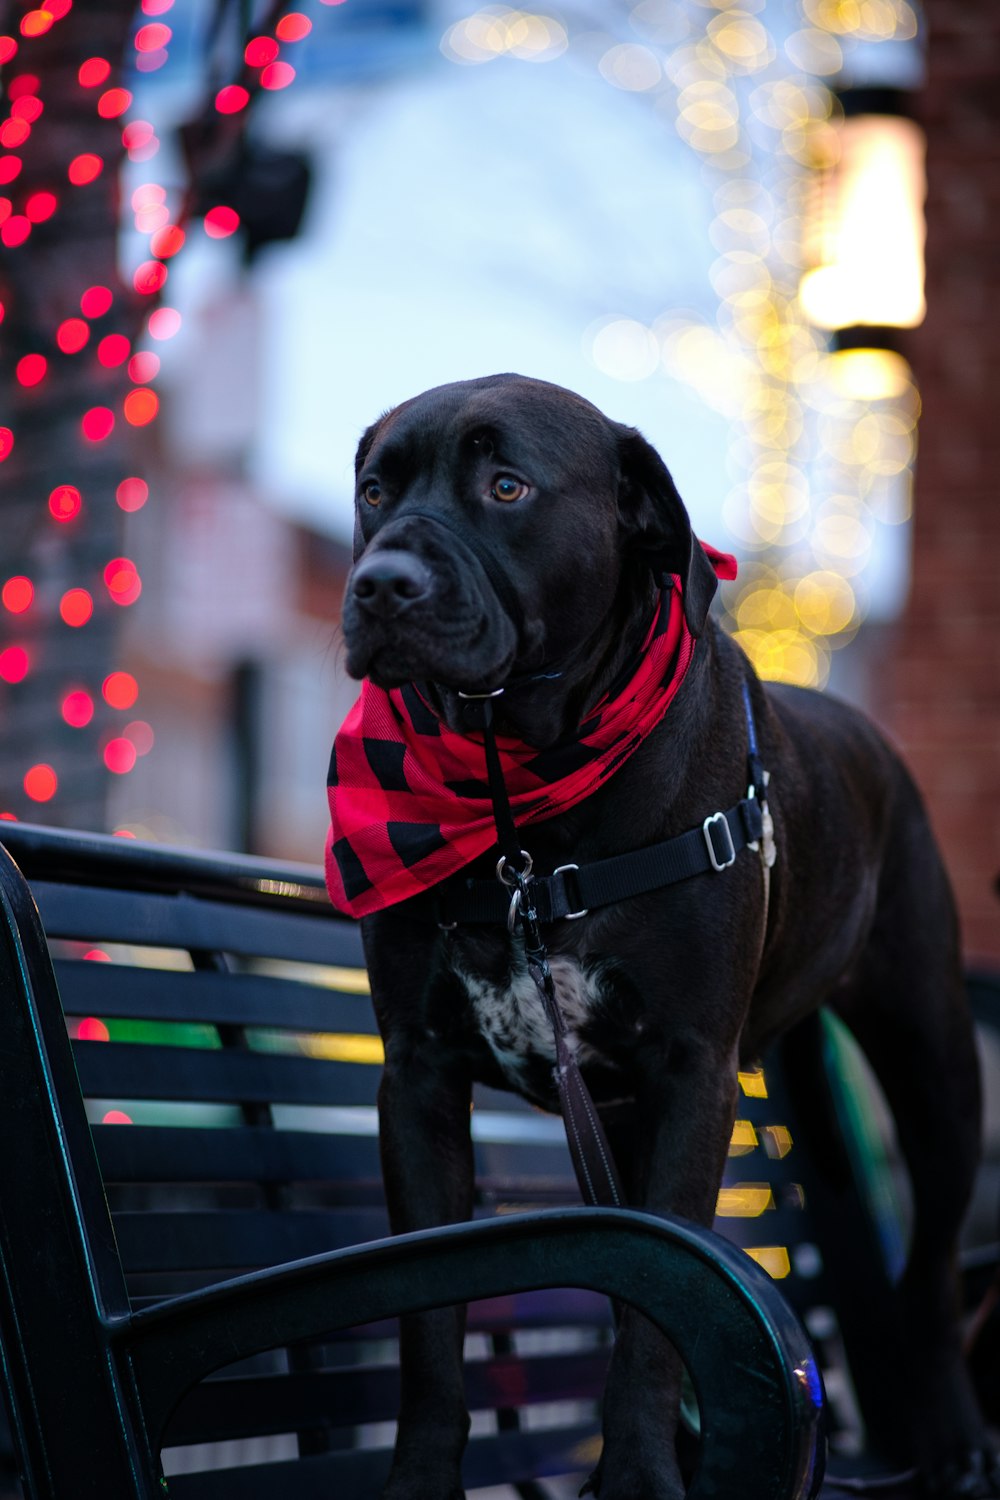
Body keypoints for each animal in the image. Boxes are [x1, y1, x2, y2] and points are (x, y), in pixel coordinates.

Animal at [332, 375, 989, 1500]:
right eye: (377, 490)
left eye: (507, 486)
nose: (381, 584)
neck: (520, 813)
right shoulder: (418, 1078)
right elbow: (430, 1320)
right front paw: (420, 1478)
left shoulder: (691, 1077)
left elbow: (649, 1319)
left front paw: (638, 1475)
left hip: (934, 1069)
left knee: (935, 1270)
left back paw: (950, 1435)